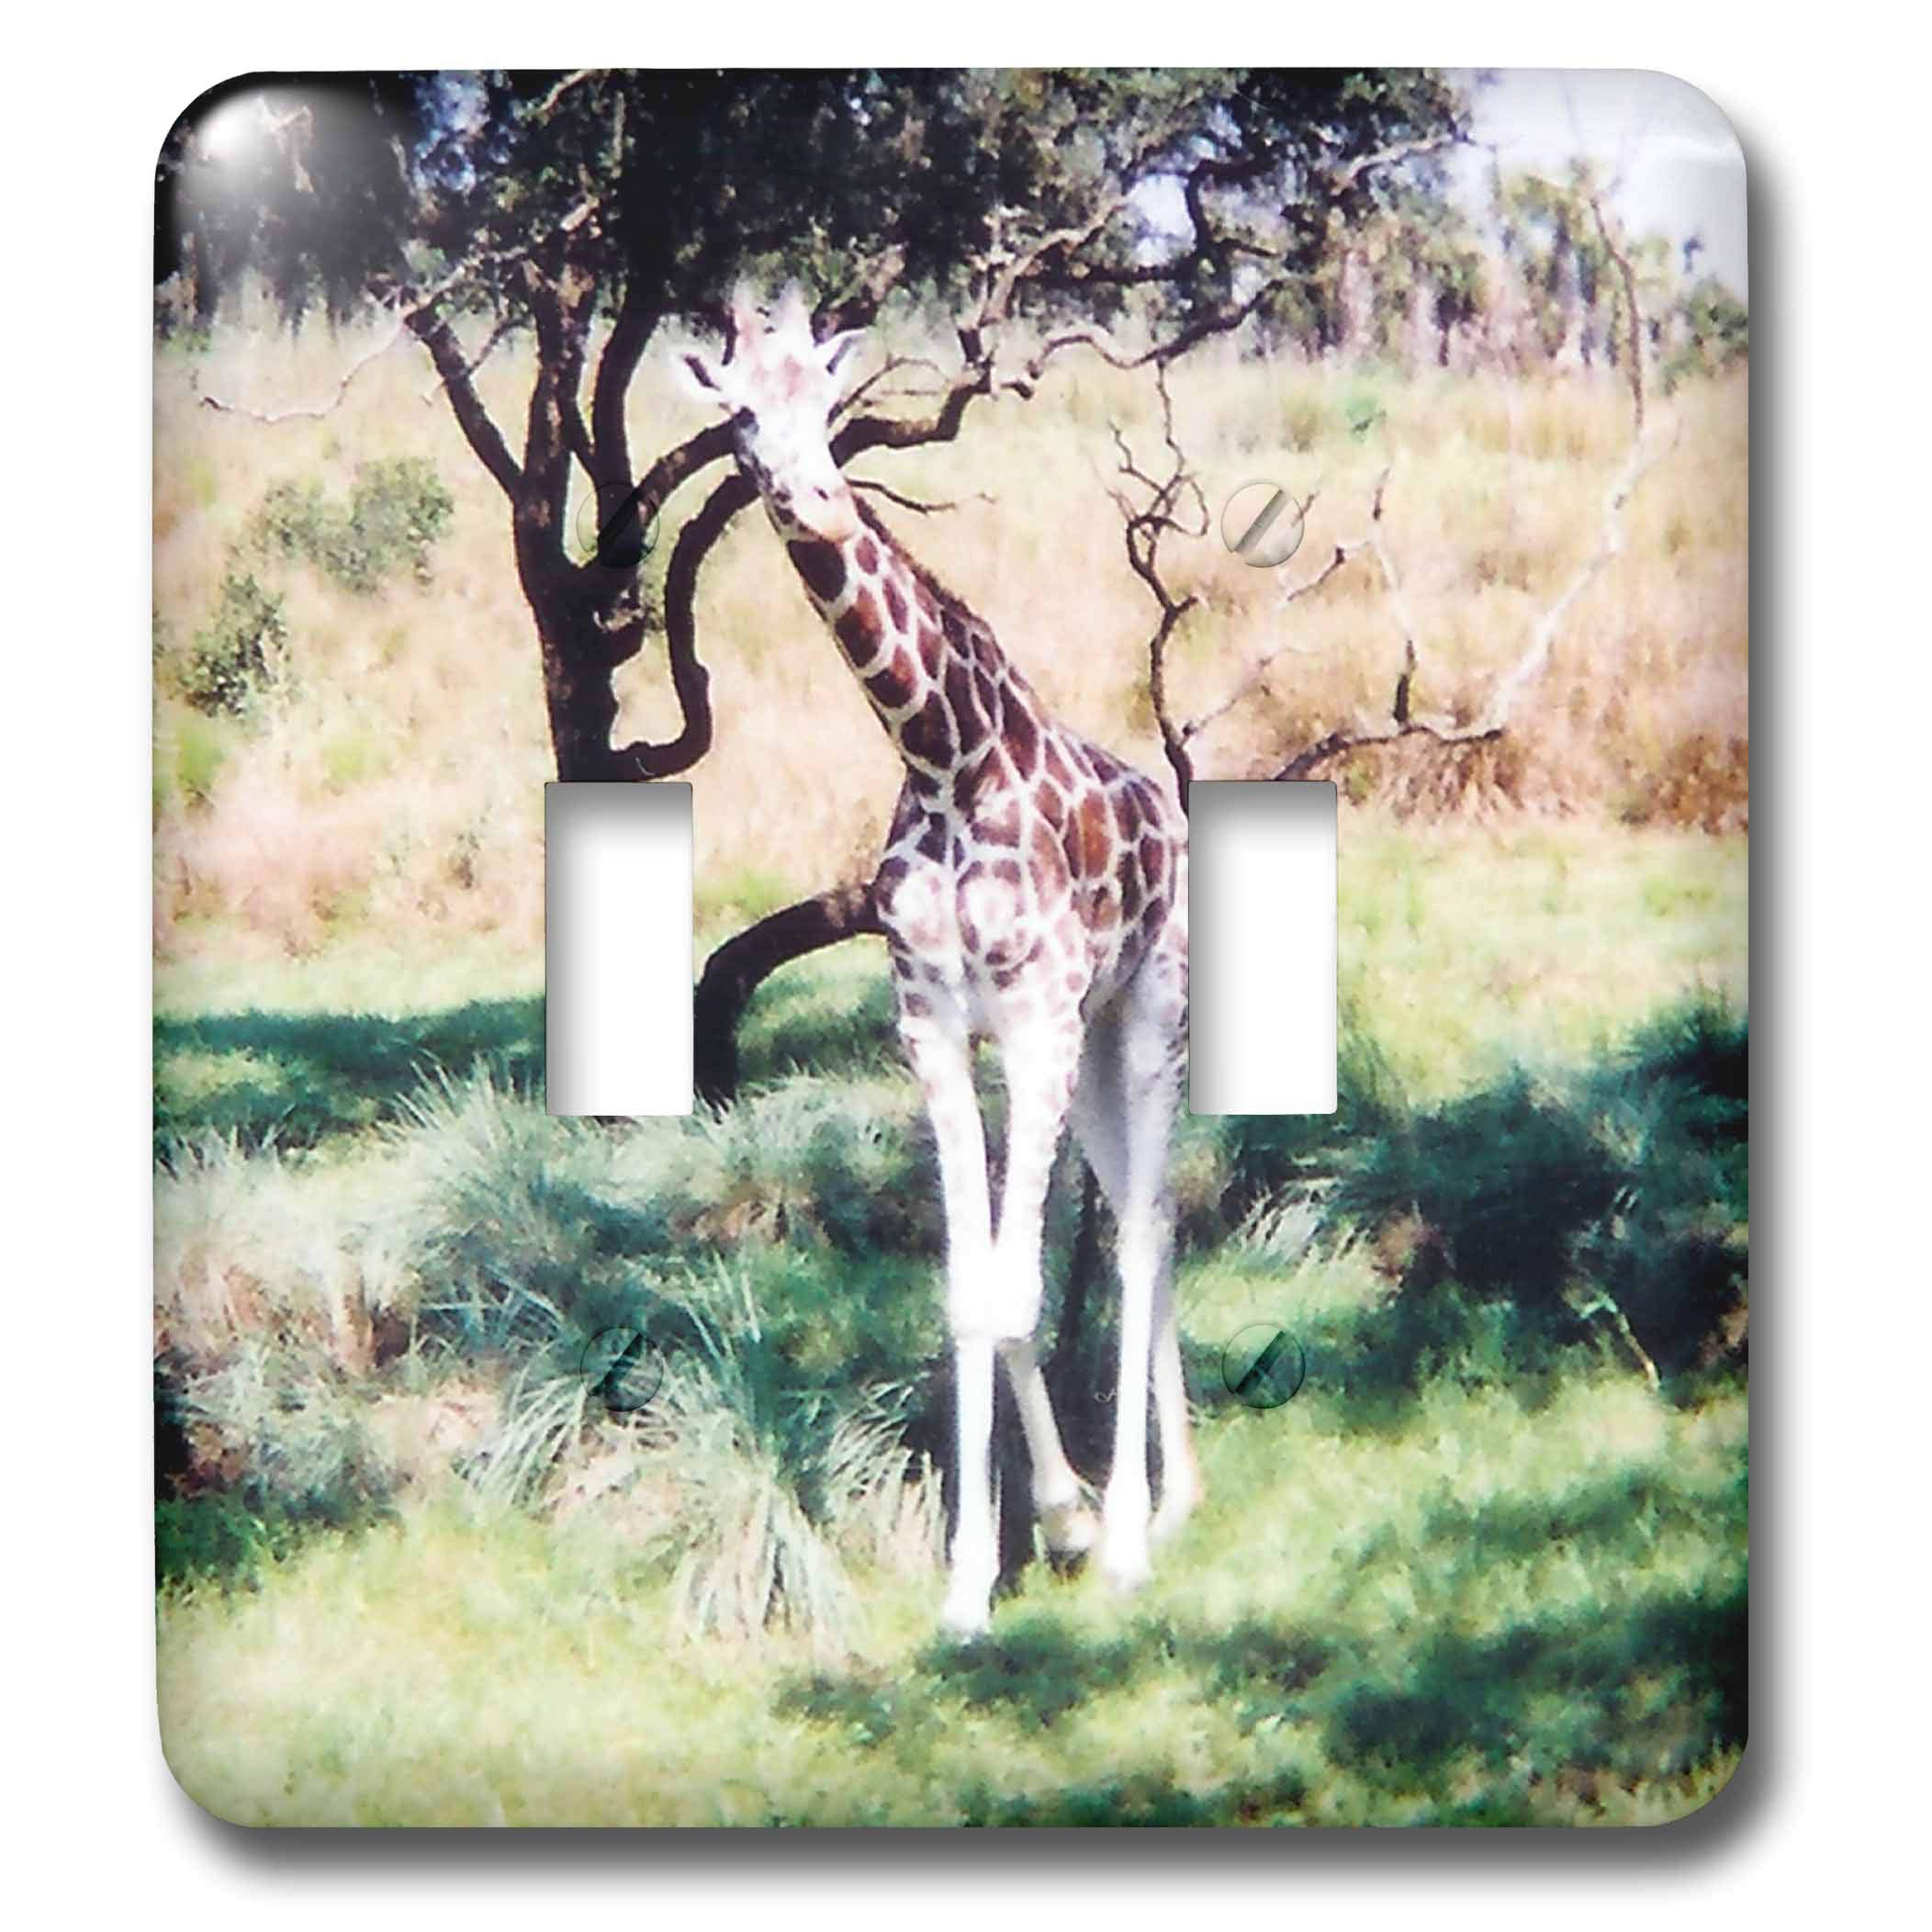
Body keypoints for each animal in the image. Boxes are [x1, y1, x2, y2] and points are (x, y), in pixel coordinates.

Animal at [685, 289, 1196, 1636]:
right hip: (1099, 1039)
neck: (946, 756)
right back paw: (1176, 1495)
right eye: (739, 414)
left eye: (834, 403)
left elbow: (1015, 1288)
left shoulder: (1035, 1019)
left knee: (1146, 1228)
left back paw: (1139, 1529)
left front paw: (1072, 1523)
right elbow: (970, 1290)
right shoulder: (931, 1026)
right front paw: (978, 1578)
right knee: (1147, 1220)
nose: (812, 498)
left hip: (1146, 1015)